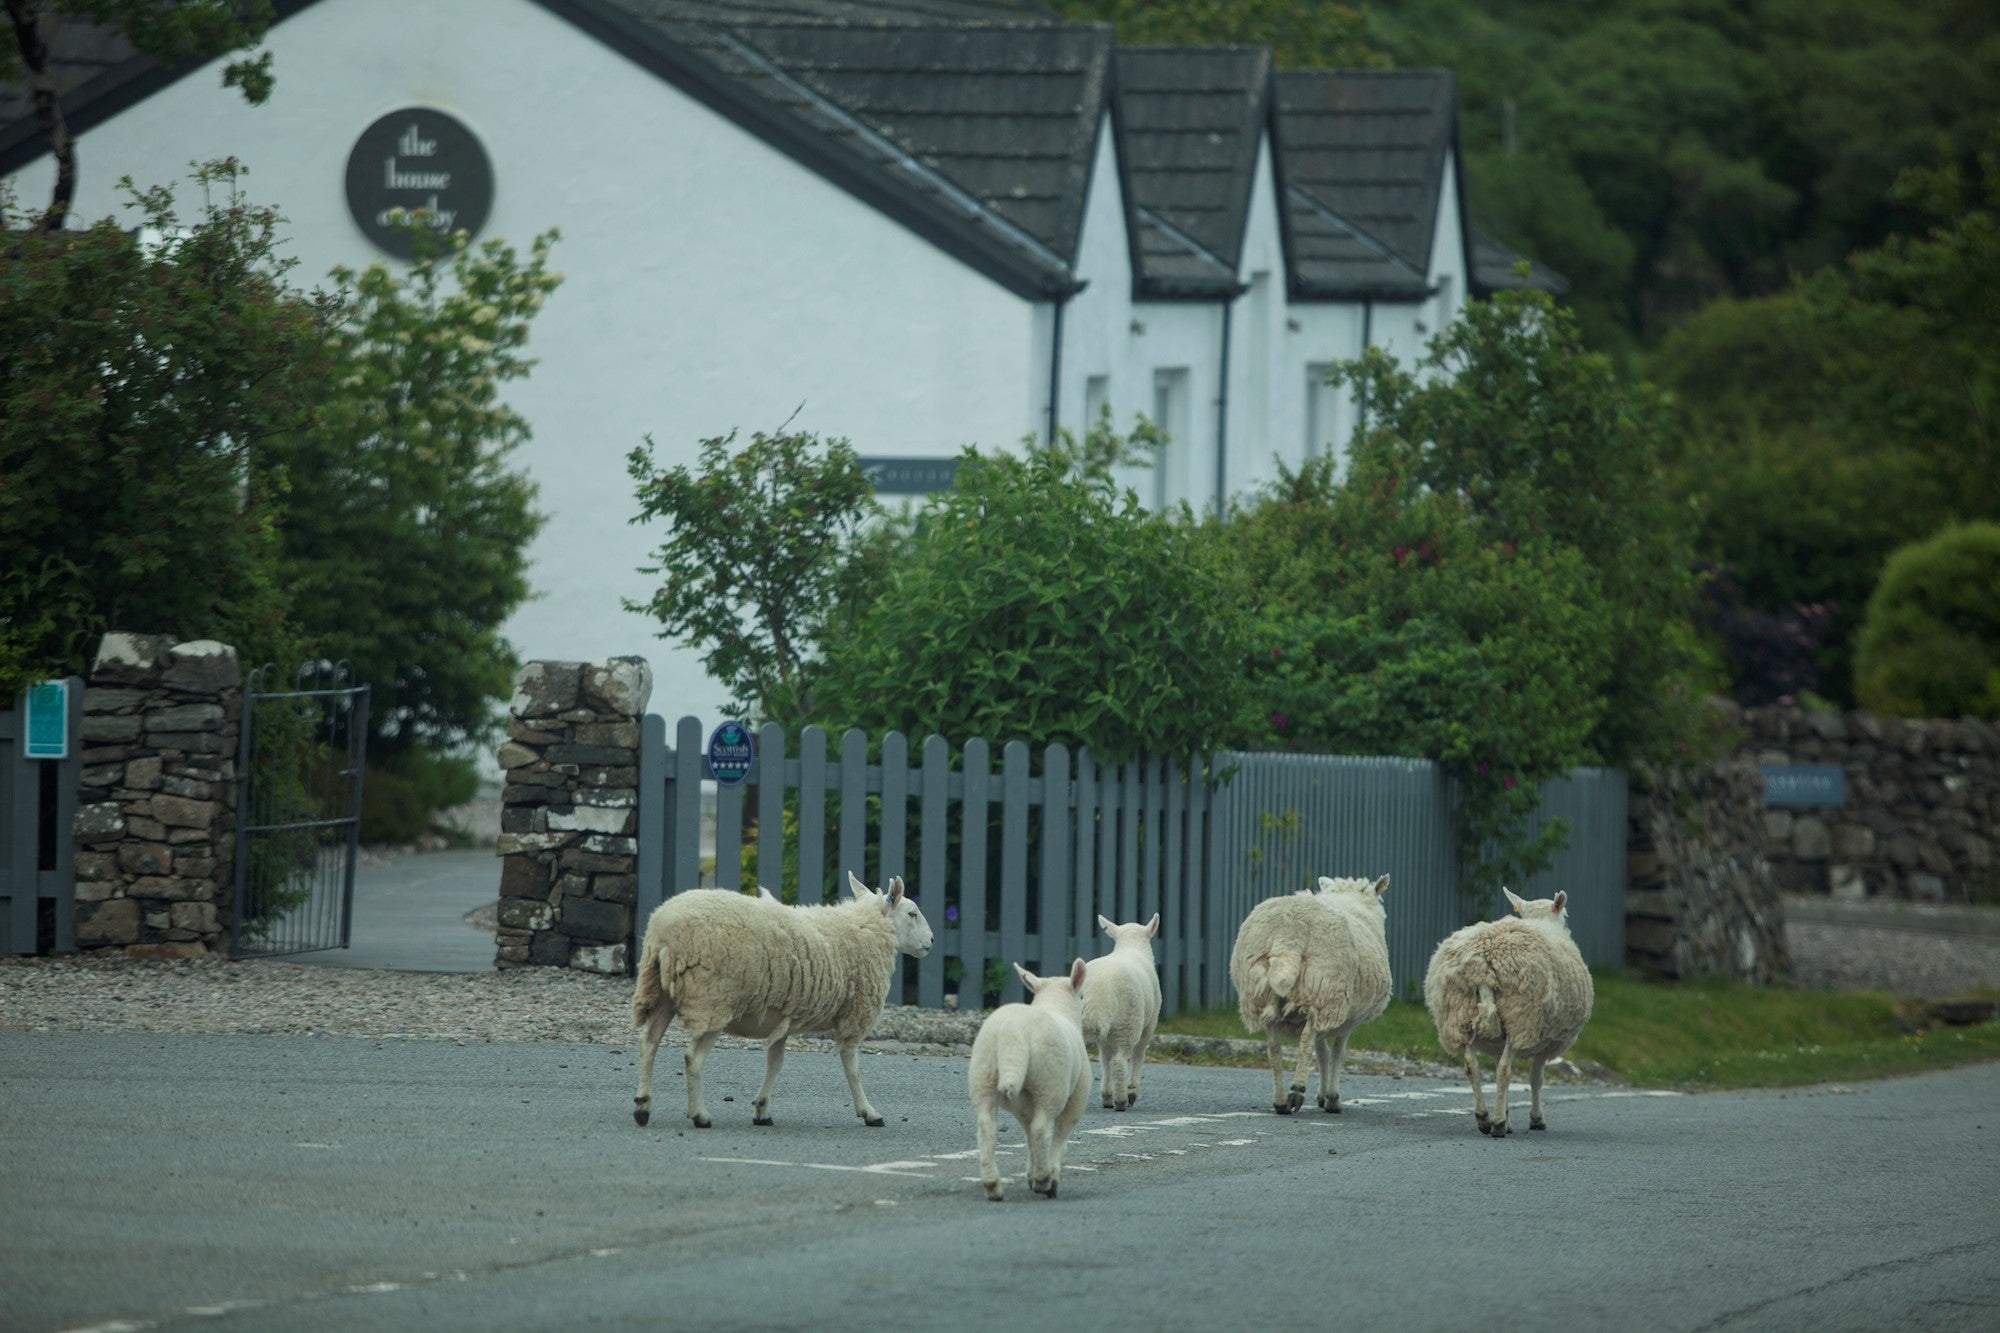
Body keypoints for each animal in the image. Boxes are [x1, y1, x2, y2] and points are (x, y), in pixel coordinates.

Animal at [628, 860, 932, 1128]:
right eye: (912, 913)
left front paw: (762, 1110)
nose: (931, 941)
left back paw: (643, 1105)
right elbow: (852, 1067)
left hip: (660, 993)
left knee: (648, 1043)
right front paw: (869, 1112)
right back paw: (699, 1115)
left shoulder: (783, 1016)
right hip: (715, 1000)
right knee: (692, 1058)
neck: (865, 928)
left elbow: (775, 1064)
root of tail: (664, 931)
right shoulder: (854, 1014)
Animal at [968, 956, 1096, 1192]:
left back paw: (992, 1184)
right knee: (1041, 1129)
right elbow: (1059, 1135)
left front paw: (1031, 1173)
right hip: (1050, 1084)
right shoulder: (1077, 1097)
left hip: (983, 1076)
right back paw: (1045, 1180)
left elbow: (1028, 1137)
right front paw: (1049, 1174)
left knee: (986, 1126)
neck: (1056, 1004)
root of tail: (1014, 1031)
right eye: (1082, 996)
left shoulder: (1024, 1105)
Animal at [1088, 908, 1168, 1104]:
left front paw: (1106, 1093)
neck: (1132, 946)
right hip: (1129, 1021)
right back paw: (1122, 1099)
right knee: (1121, 1059)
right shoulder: (1150, 1023)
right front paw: (1132, 1089)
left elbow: (1104, 1058)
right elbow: (1139, 1054)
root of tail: (1101, 987)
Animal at [1224, 872, 1384, 1112]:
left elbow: (1323, 1053)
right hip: (1323, 989)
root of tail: (1290, 932)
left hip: (1262, 995)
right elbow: (1336, 1053)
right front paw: (1332, 1098)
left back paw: (1280, 1101)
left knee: (1274, 1048)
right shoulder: (1346, 1020)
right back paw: (1297, 1090)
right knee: (1306, 1042)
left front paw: (1323, 1095)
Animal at [1424, 880, 1592, 1128]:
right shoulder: (1548, 1042)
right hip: (1520, 1017)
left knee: (1471, 1066)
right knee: (1505, 1070)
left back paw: (1484, 1117)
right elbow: (1535, 1078)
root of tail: (1481, 966)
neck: (1541, 921)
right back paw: (1498, 1125)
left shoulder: (1497, 1043)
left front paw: (1506, 1114)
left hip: (1457, 1016)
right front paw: (1535, 1118)